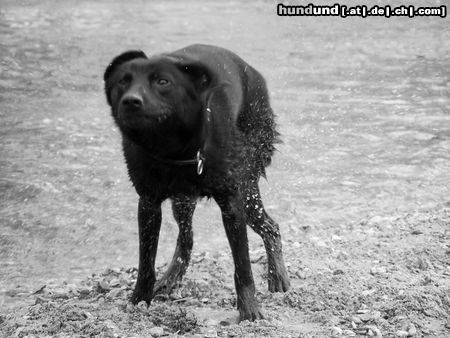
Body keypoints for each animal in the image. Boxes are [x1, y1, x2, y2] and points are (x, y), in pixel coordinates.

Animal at [103, 43, 290, 320]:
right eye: (123, 82)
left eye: (163, 81)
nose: (131, 101)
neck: (173, 149)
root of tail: (253, 72)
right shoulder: (148, 202)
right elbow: (146, 263)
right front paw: (138, 302)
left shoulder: (231, 202)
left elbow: (243, 266)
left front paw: (249, 311)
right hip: (182, 199)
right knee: (186, 238)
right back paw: (171, 278)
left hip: (246, 188)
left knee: (270, 226)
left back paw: (277, 275)